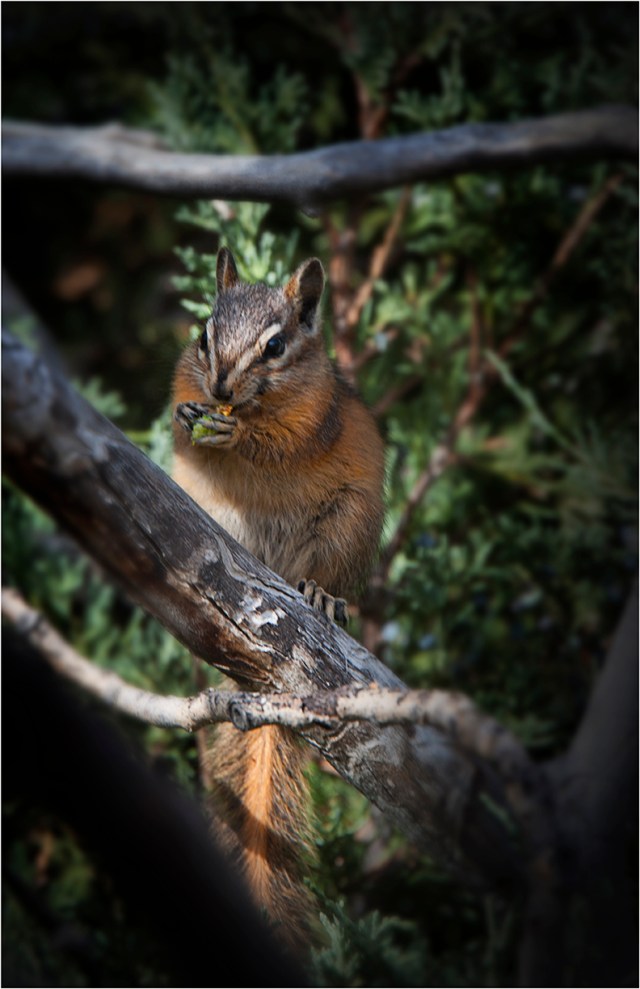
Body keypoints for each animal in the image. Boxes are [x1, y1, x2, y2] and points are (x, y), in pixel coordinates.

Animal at [172, 247, 385, 950]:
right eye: (203, 334)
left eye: (276, 346)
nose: (218, 392)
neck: (250, 407)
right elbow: (183, 427)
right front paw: (191, 420)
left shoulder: (312, 418)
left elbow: (281, 445)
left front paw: (236, 437)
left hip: (348, 527)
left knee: (327, 577)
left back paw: (320, 594)